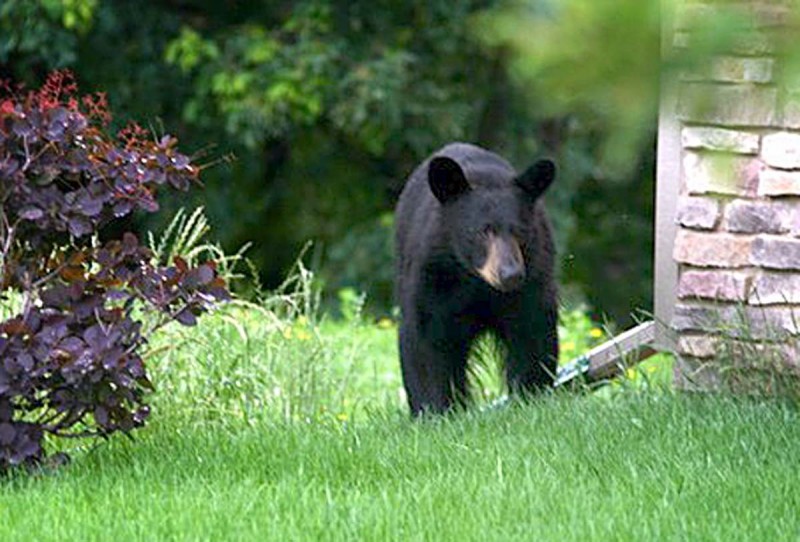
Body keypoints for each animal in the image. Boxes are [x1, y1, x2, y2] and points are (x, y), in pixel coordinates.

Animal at [394, 143, 556, 416]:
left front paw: (530, 397)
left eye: (520, 231)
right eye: (483, 231)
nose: (511, 275)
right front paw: (434, 411)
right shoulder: (431, 279)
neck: (476, 282)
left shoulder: (532, 283)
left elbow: (531, 334)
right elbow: (424, 342)